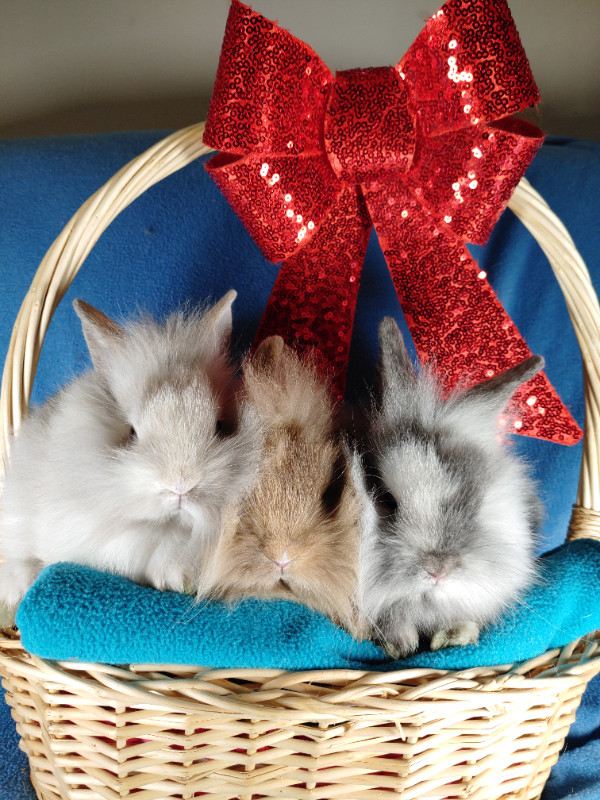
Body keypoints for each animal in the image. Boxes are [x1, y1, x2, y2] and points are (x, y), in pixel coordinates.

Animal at [0, 290, 262, 608]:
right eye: (132, 433)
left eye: (221, 427)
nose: (181, 485)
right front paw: (176, 577)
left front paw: (180, 578)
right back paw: (15, 588)